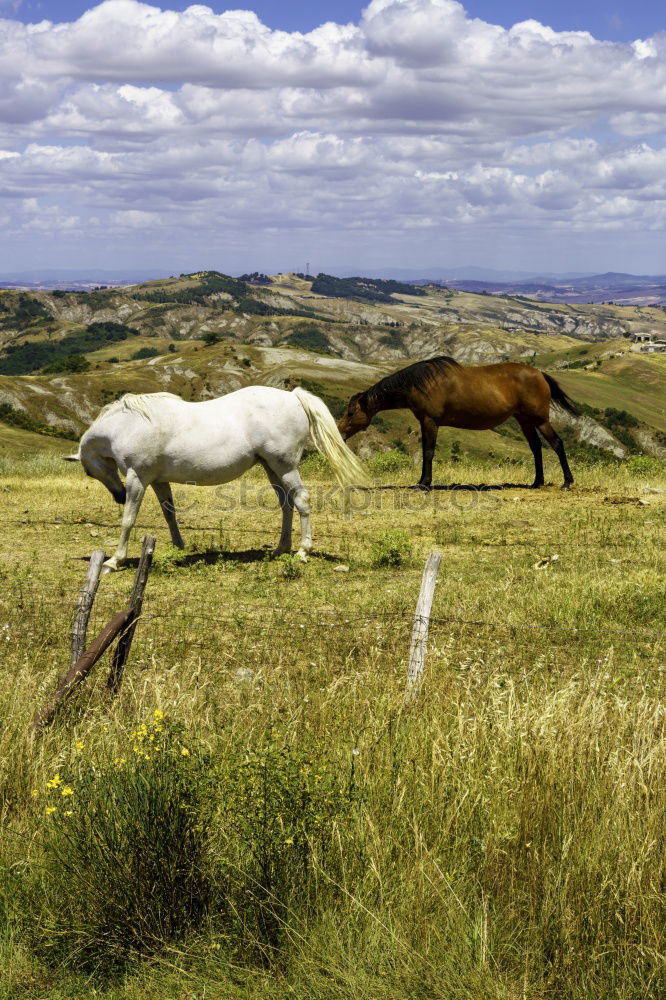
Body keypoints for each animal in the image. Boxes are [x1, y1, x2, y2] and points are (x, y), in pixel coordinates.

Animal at [65, 384, 368, 572]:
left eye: (88, 471)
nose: (118, 496)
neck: (129, 424)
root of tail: (293, 396)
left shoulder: (137, 478)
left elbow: (128, 520)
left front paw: (114, 561)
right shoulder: (158, 480)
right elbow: (169, 513)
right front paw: (179, 546)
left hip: (285, 466)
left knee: (302, 500)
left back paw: (303, 551)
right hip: (272, 468)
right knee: (286, 504)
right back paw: (280, 549)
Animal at [338, 358, 576, 490]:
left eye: (351, 412)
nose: (339, 432)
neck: (419, 384)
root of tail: (540, 374)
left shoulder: (430, 422)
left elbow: (428, 452)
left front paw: (424, 484)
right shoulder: (425, 422)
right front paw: (422, 481)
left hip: (540, 420)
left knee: (557, 444)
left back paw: (566, 482)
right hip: (524, 420)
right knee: (536, 447)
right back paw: (537, 482)